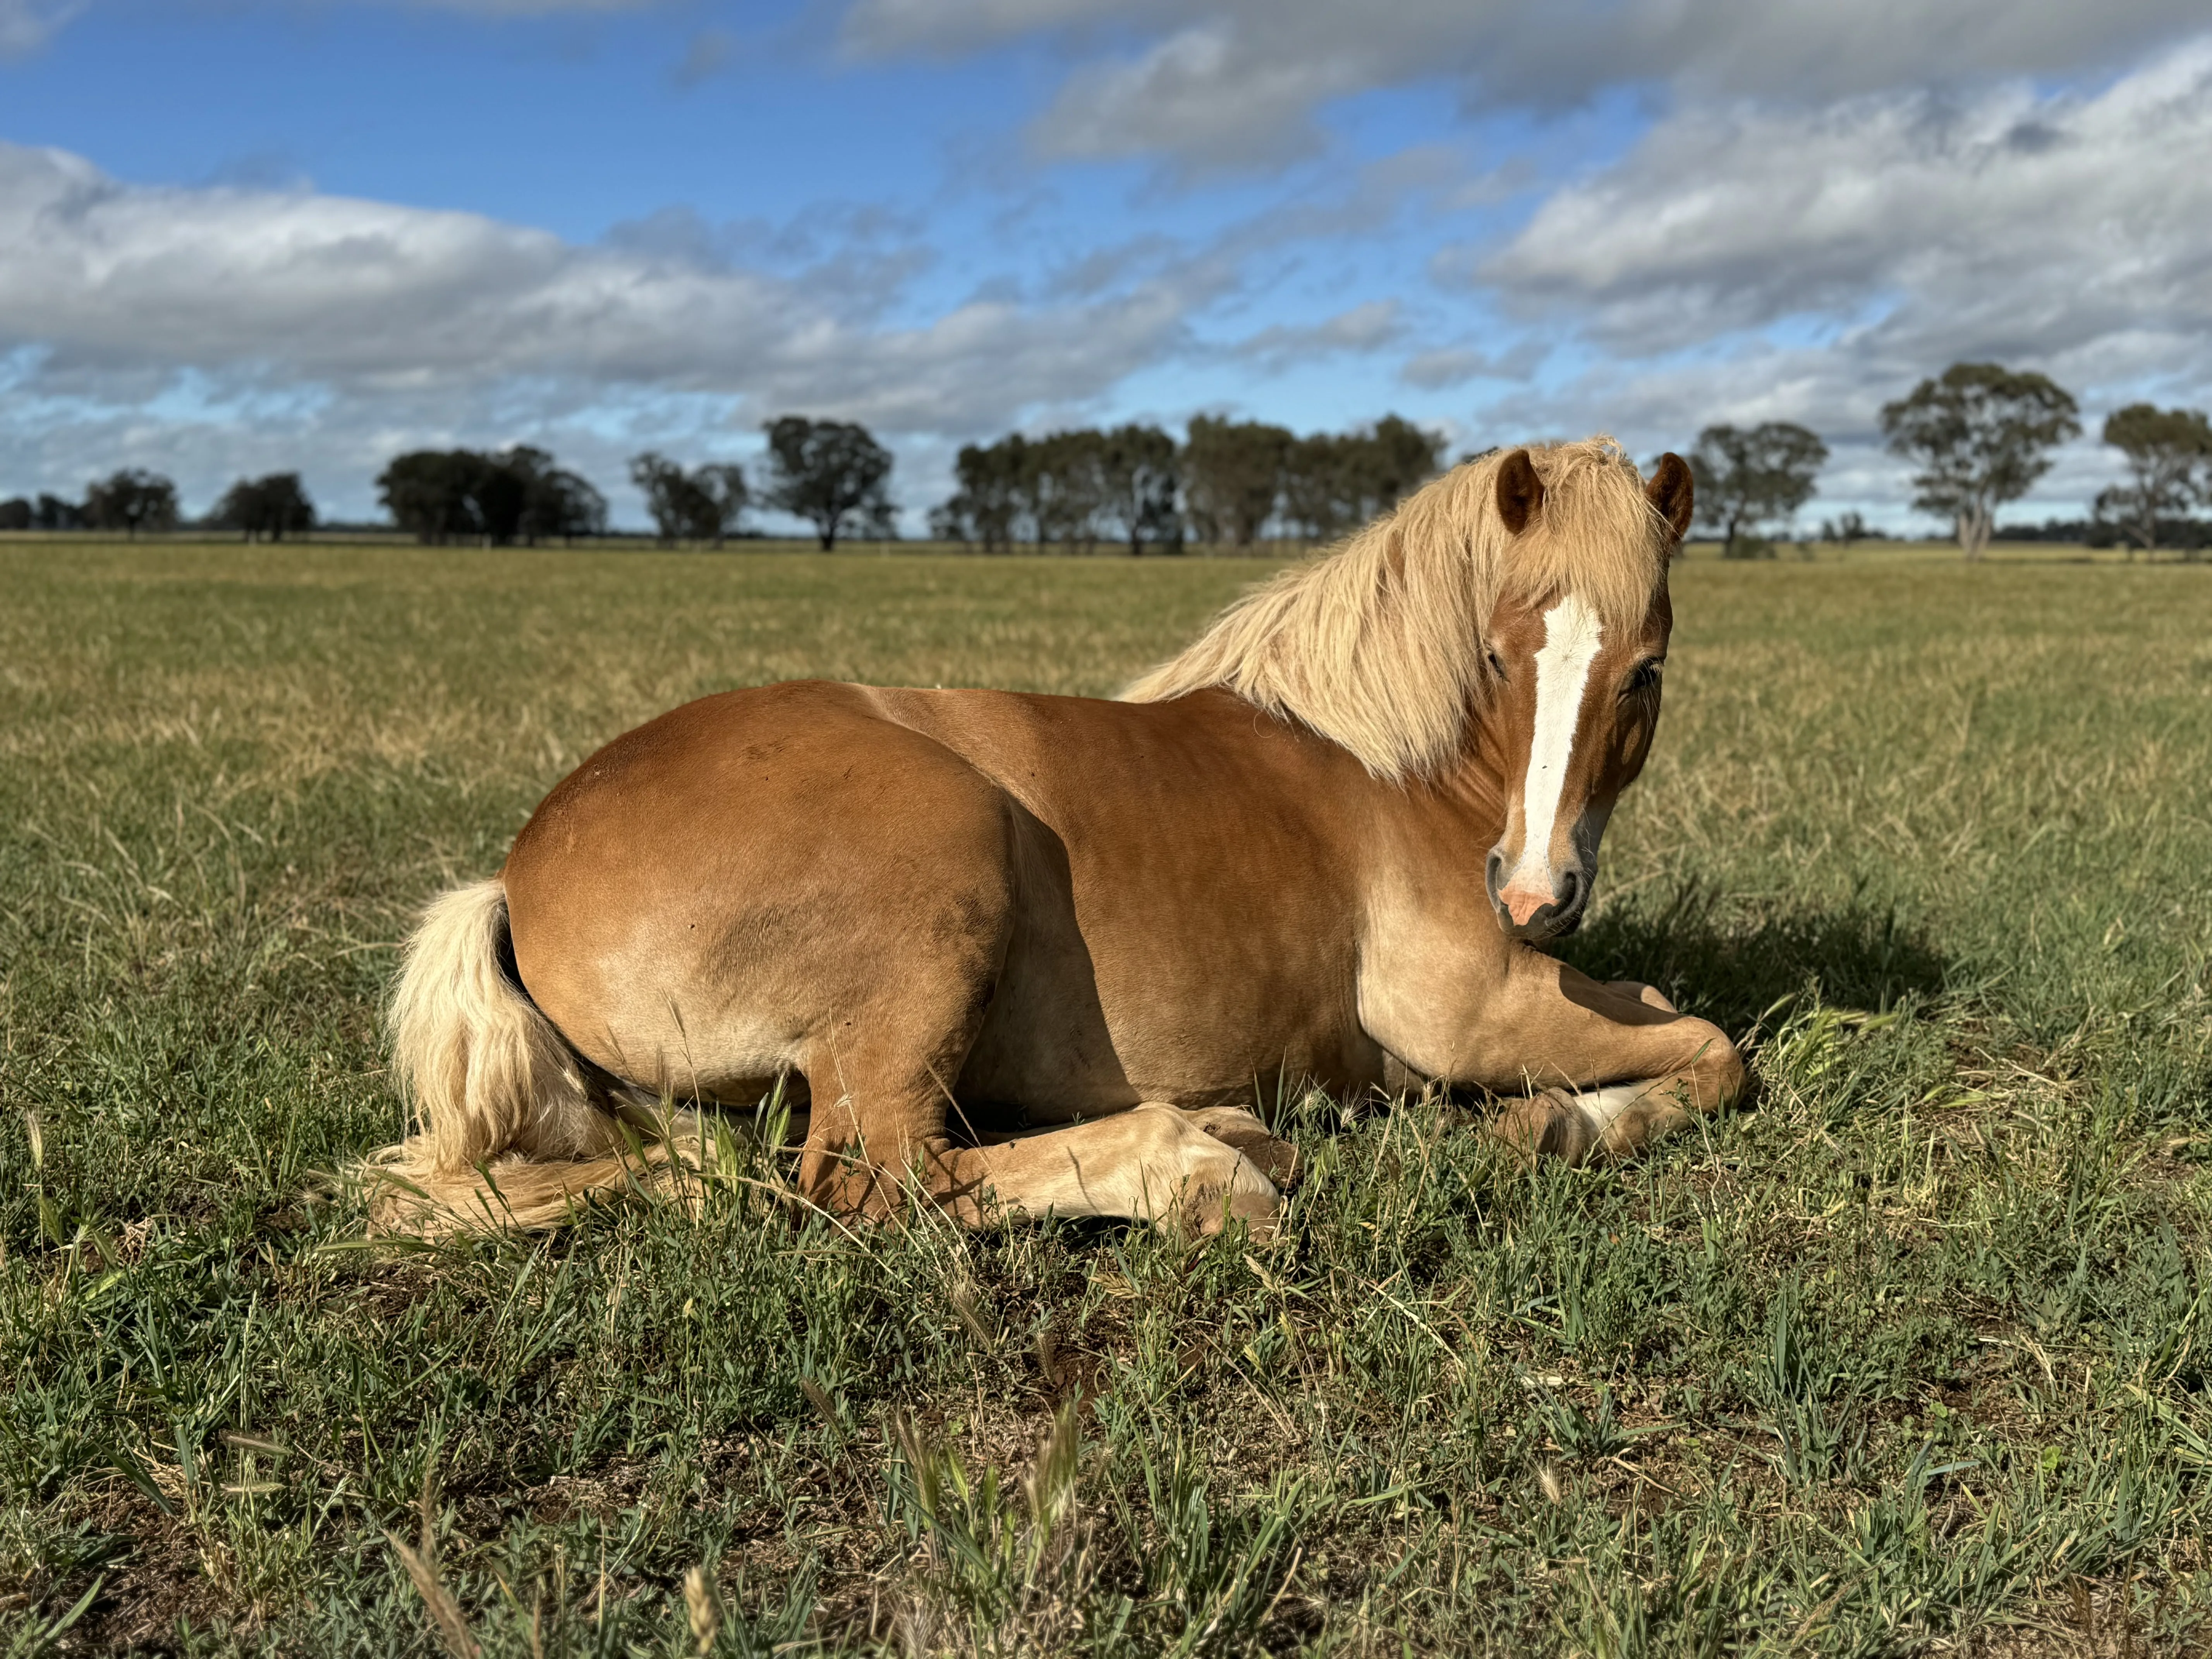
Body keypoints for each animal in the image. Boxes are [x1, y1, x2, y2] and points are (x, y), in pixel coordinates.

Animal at [370, 437, 1744, 1238]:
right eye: (1503, 655)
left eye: (1644, 671)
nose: (1534, 895)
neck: (1382, 763)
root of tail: (515, 878)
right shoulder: (1474, 1012)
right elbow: (1719, 1051)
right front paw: (1557, 1123)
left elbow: (1677, 1021)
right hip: (939, 893)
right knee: (879, 1178)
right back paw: (1204, 1171)